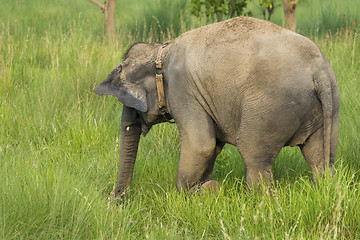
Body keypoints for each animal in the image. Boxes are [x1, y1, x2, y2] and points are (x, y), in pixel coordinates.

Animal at [94, 16, 338, 197]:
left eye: (129, 103)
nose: (118, 200)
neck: (161, 50)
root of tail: (318, 69)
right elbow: (214, 145)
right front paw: (205, 186)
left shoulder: (182, 89)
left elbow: (200, 145)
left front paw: (192, 192)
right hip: (327, 107)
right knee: (320, 159)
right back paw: (324, 190)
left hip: (270, 108)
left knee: (255, 159)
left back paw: (258, 202)